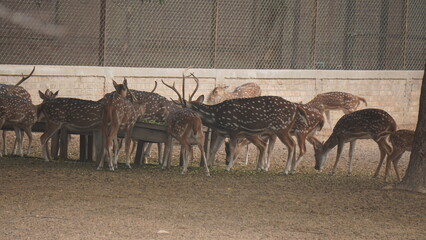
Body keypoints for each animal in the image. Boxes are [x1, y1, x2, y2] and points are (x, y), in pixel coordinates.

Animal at [162, 73, 306, 174]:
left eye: (184, 108)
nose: (179, 117)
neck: (216, 118)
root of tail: (296, 107)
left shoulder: (233, 129)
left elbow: (232, 148)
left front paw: (228, 167)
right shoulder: (222, 132)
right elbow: (214, 148)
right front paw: (209, 167)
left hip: (281, 128)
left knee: (291, 145)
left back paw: (285, 170)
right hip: (278, 130)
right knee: (280, 146)